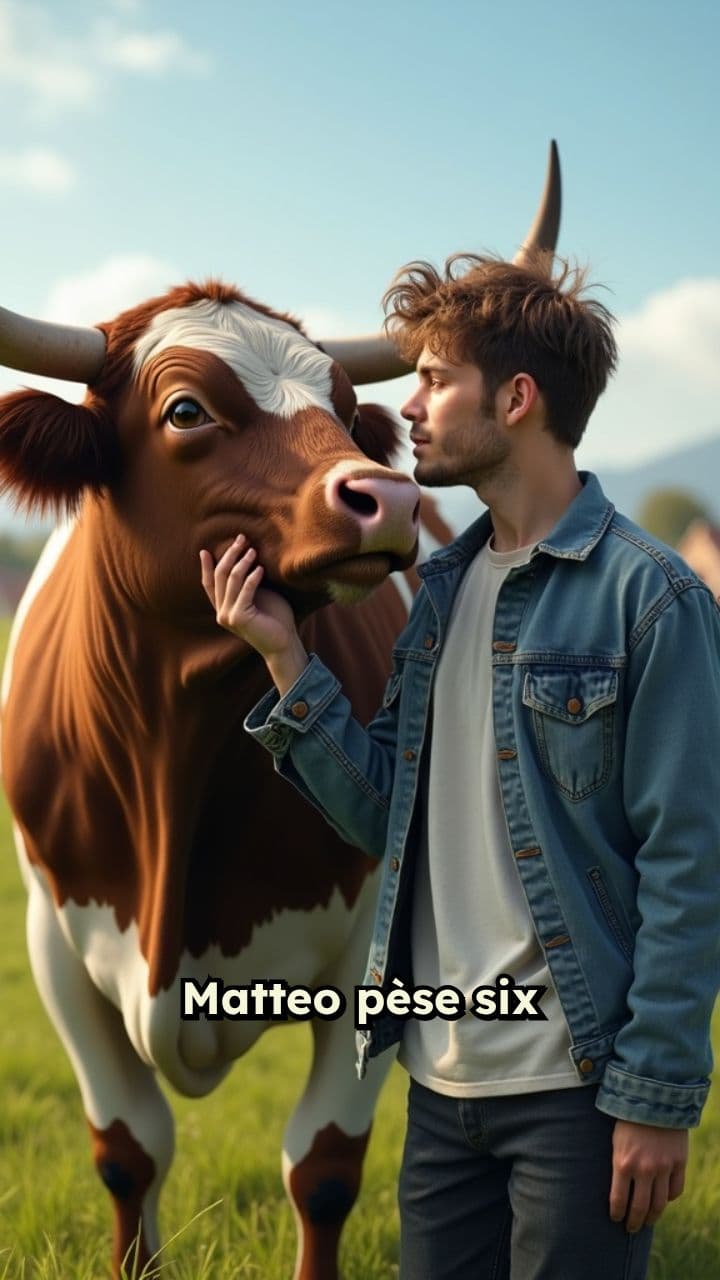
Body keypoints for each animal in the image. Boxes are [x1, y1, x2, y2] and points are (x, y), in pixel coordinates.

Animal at [0, 146, 560, 1278]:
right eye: (185, 410)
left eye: (345, 405)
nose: (386, 497)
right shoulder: (53, 948)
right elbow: (128, 1150)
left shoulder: (375, 950)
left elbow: (325, 1164)